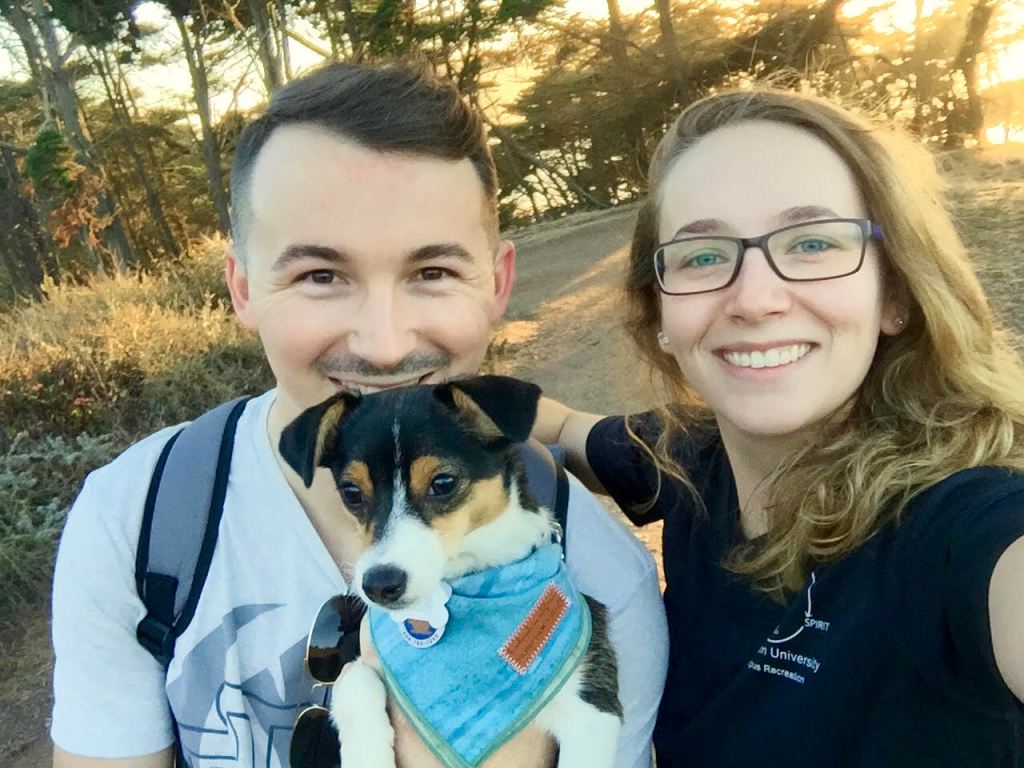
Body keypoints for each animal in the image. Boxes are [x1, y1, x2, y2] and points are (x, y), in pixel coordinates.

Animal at [276, 376, 618, 768]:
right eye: (351, 492)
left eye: (443, 483)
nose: (379, 584)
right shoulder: (360, 665)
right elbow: (353, 679)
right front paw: (367, 755)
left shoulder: (593, 708)